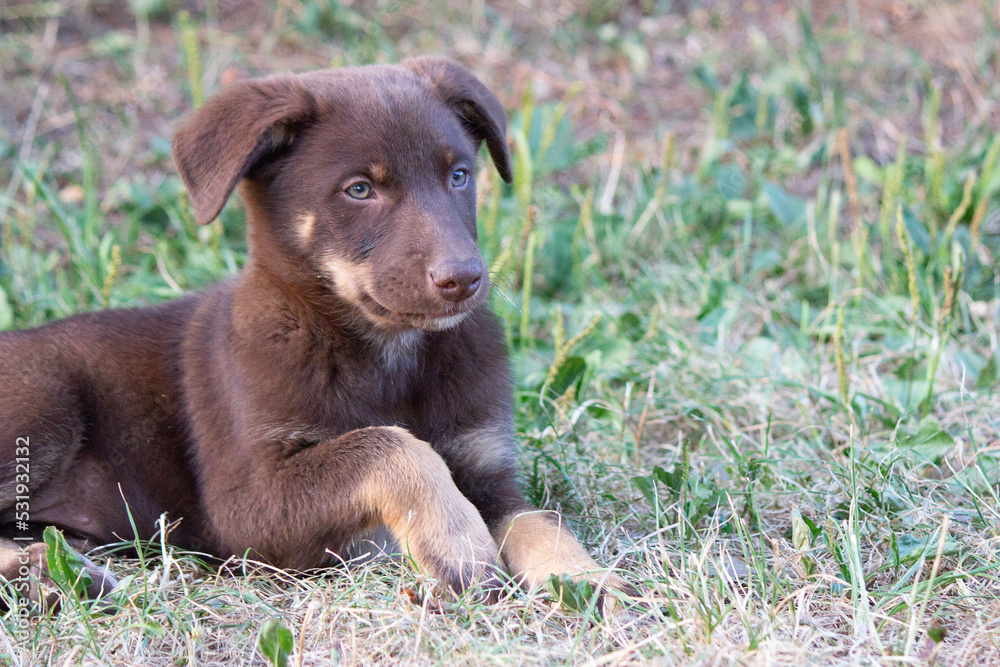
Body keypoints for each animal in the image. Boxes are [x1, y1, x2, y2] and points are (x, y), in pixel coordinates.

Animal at [1, 57, 632, 616]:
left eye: (458, 176)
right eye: (359, 190)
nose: (464, 279)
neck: (389, 355)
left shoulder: (487, 467)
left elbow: (539, 521)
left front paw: (586, 578)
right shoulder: (249, 506)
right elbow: (391, 446)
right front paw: (460, 547)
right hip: (46, 402)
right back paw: (47, 577)